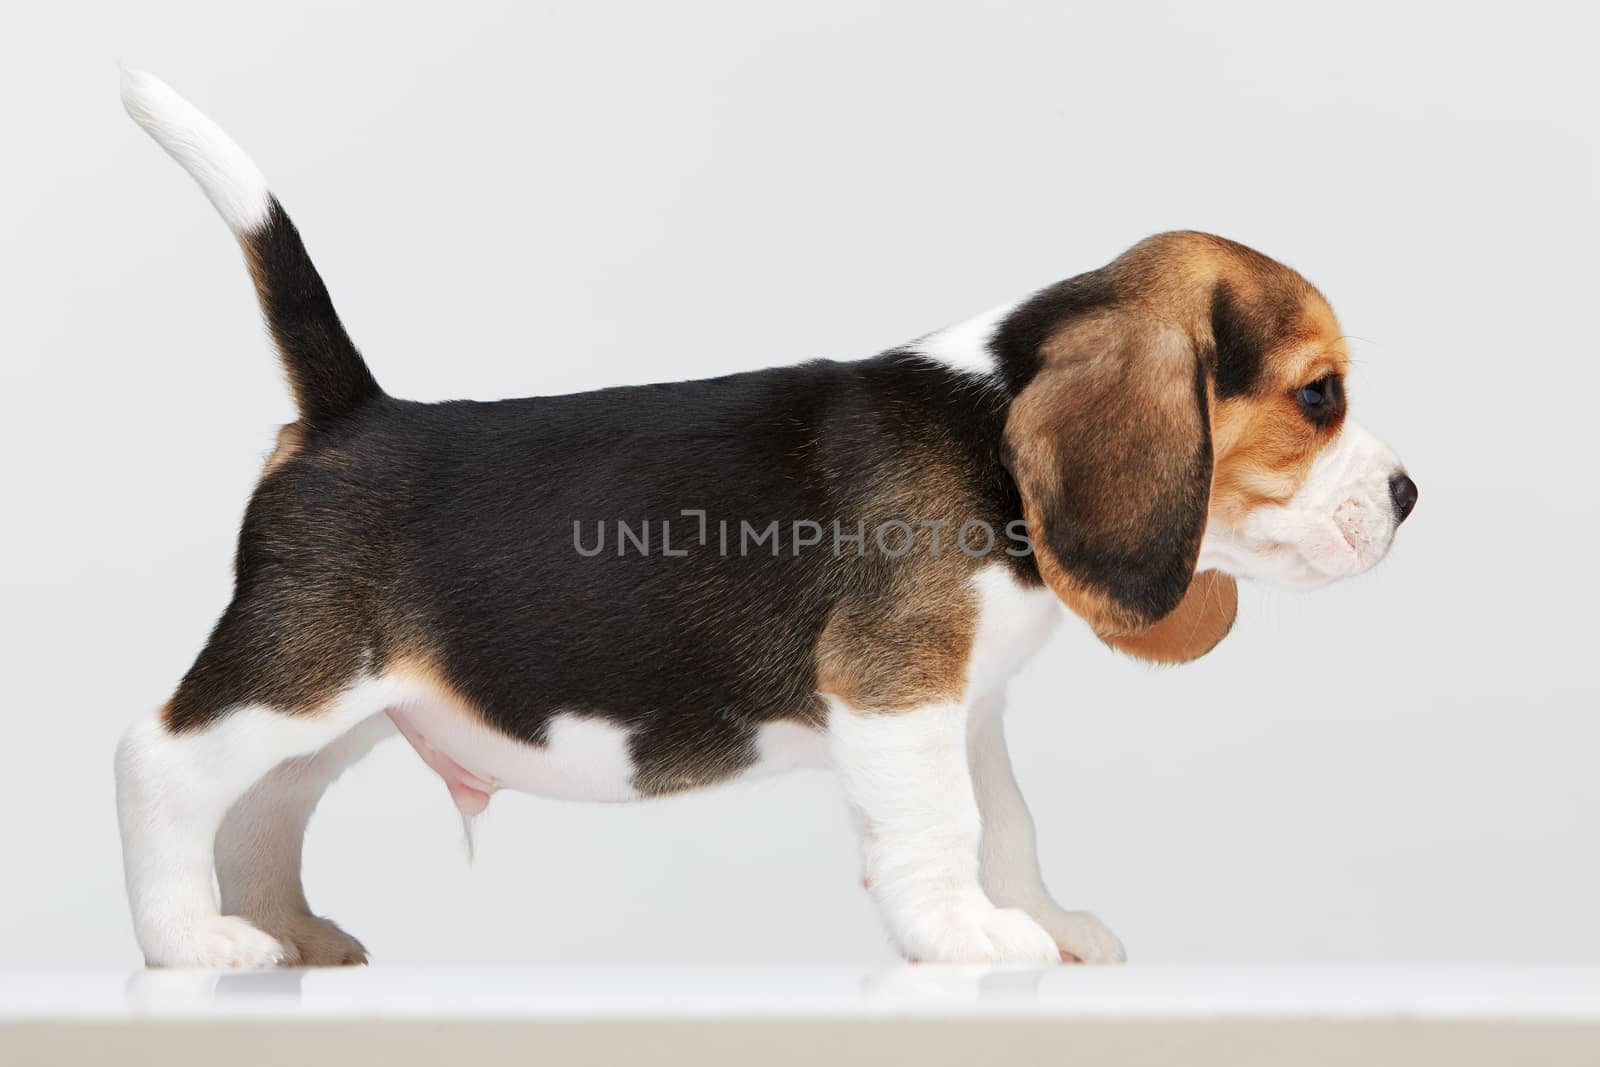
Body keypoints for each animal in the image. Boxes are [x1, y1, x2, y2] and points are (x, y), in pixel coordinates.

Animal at [116, 70, 1414, 972]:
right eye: (1318, 395)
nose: (1409, 496)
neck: (989, 424)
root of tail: (354, 412)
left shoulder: (968, 705)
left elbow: (1006, 820)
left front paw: (1042, 920)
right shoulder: (899, 690)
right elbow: (943, 824)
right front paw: (965, 936)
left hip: (334, 714)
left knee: (263, 810)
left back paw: (286, 933)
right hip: (295, 670)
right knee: (159, 763)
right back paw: (191, 941)